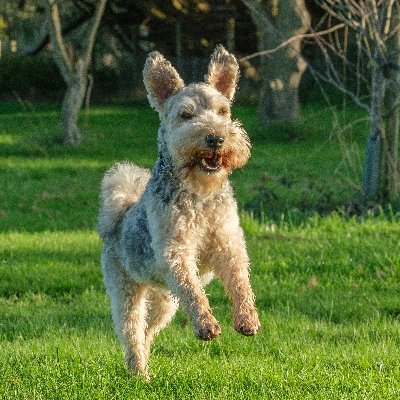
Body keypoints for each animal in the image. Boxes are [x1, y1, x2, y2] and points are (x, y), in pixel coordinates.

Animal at [98, 45, 260, 380]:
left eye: (223, 111)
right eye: (186, 115)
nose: (216, 138)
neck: (201, 195)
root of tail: (117, 221)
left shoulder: (229, 243)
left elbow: (240, 282)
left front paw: (247, 319)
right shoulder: (177, 252)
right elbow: (194, 292)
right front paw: (207, 325)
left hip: (164, 302)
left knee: (147, 333)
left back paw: (144, 366)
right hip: (126, 293)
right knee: (132, 334)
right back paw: (139, 375)